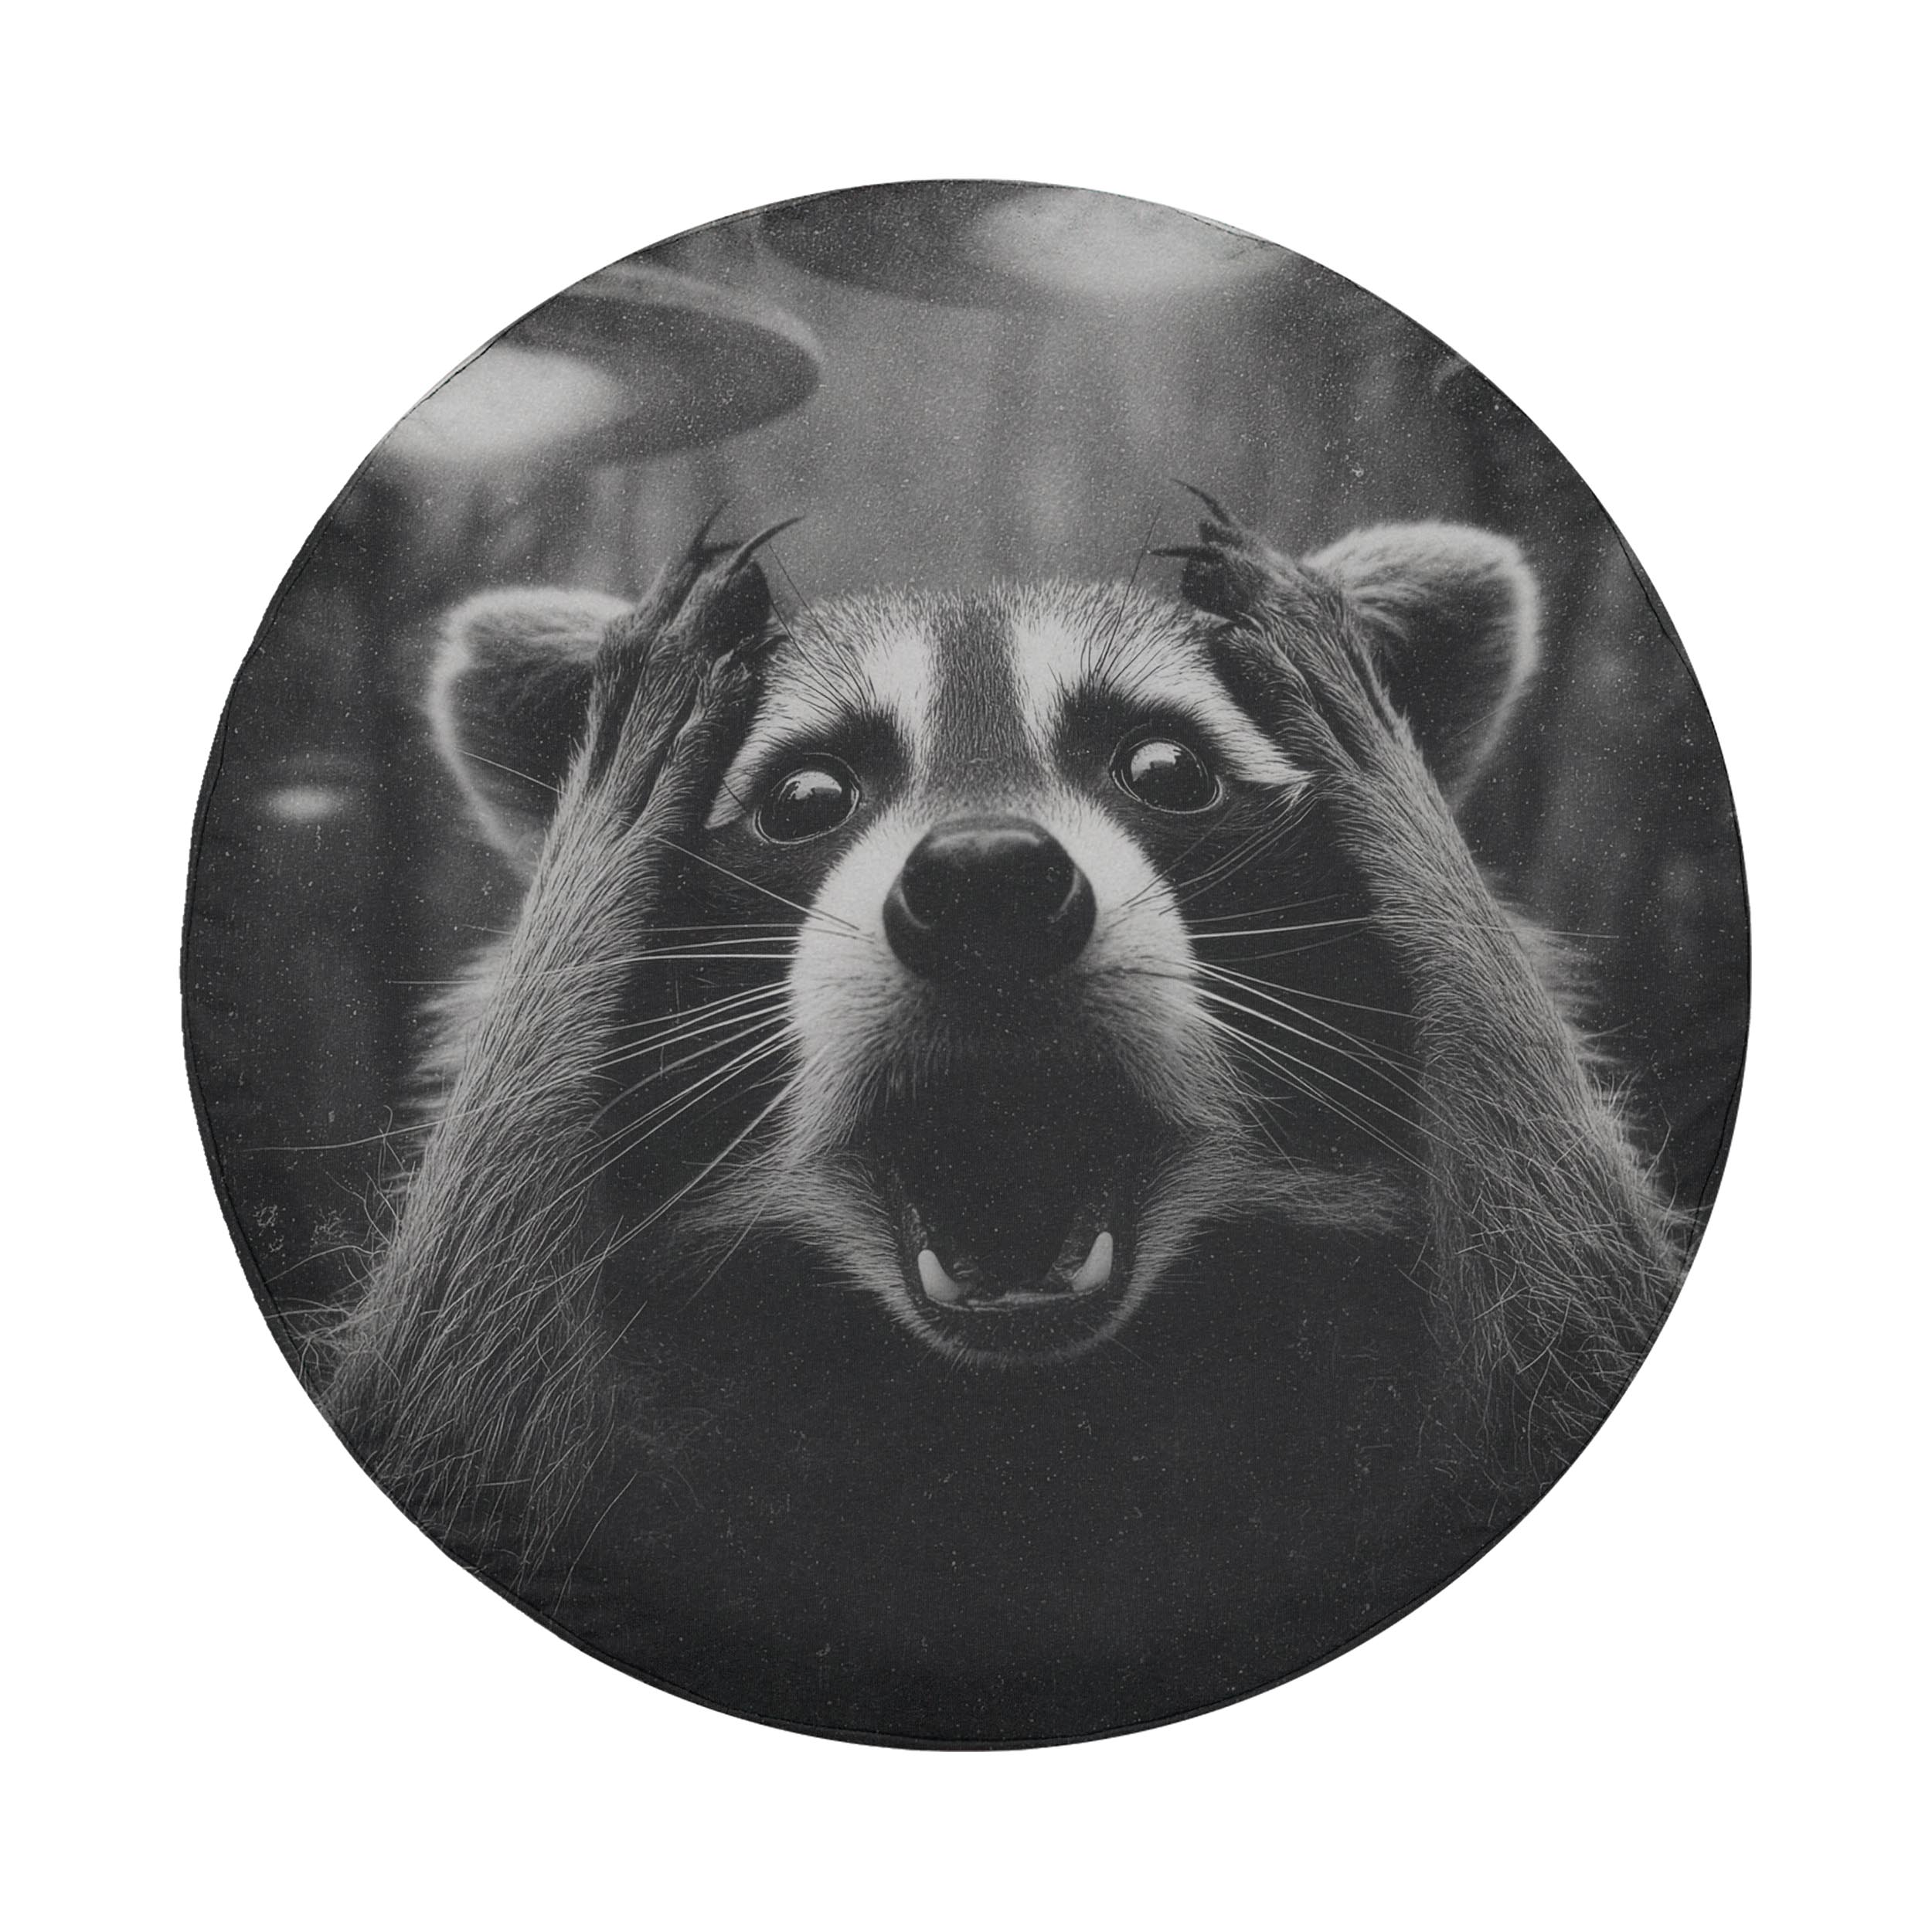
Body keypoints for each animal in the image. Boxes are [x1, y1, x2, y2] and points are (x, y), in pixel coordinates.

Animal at [325, 497, 1682, 1735]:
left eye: (1165, 769)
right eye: (807, 797)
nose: (986, 882)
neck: (1020, 1414)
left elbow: (1574, 1321)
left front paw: (1397, 799)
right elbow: (452, 1413)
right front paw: (600, 832)